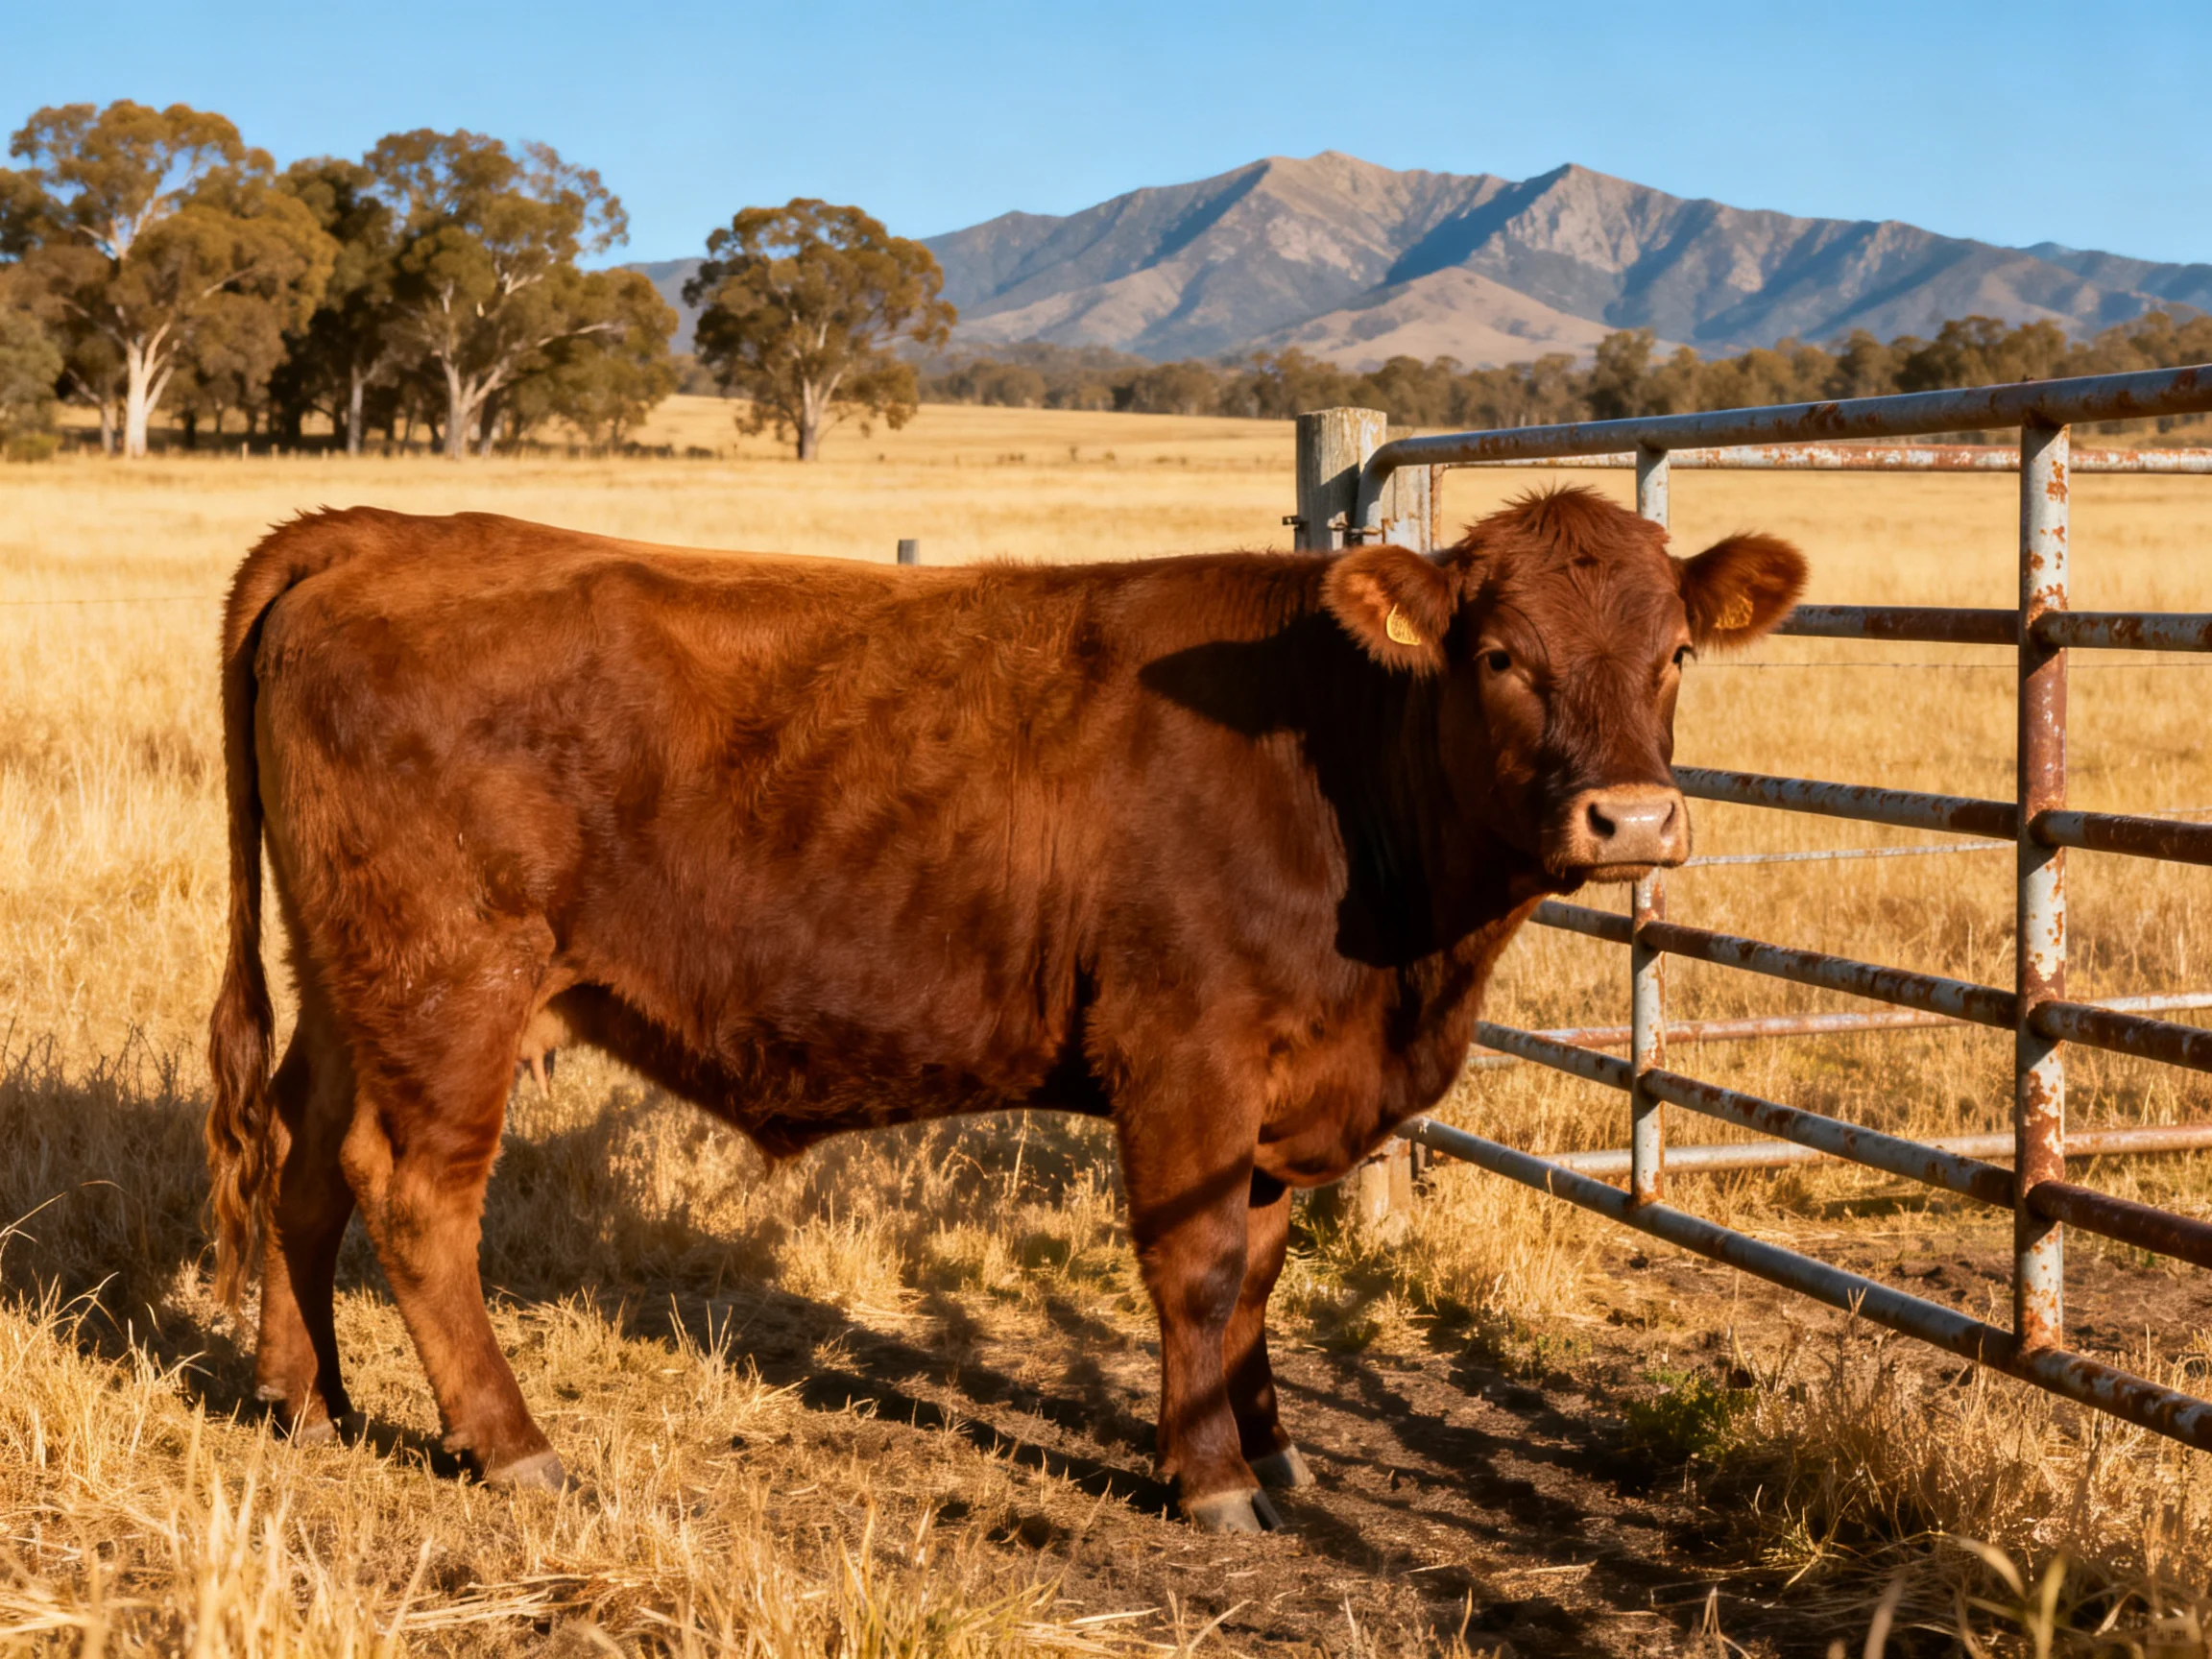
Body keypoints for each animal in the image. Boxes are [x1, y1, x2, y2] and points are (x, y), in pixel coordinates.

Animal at [206, 489, 1804, 1532]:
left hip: (354, 989)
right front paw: (1212, 1485)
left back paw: (305, 1400)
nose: (1632, 818)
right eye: (1499, 655)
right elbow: (1200, 1273)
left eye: (1673, 652)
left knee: (300, 1160)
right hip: (449, 990)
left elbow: (1263, 1275)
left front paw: (1273, 1454)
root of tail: (379, 531)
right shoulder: (1187, 1057)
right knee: (410, 1196)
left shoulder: (1282, 1090)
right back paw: (516, 1448)